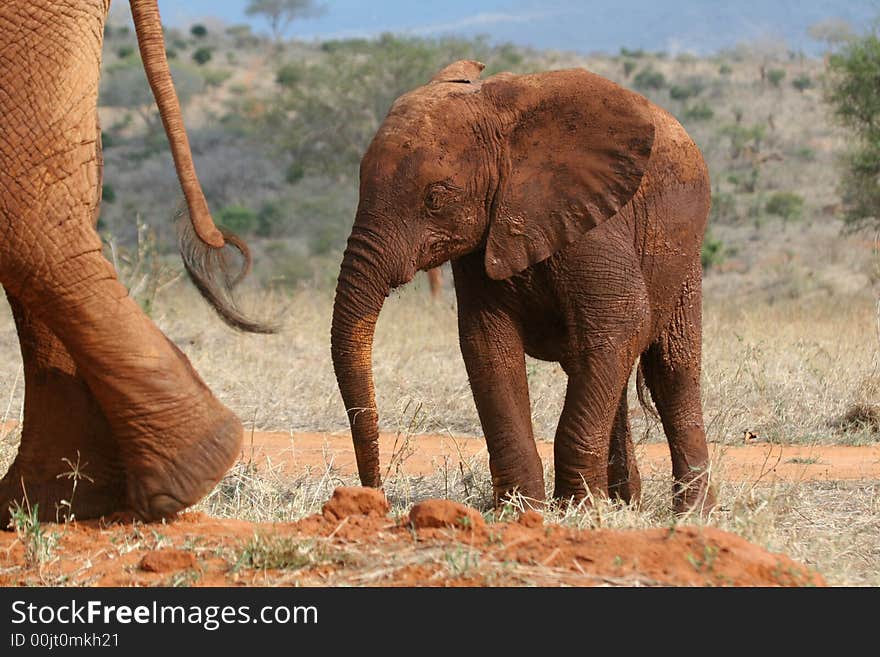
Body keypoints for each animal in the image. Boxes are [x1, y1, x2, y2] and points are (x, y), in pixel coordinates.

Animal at [330, 60, 716, 512]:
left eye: (435, 198)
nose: (377, 496)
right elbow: (487, 345)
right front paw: (522, 509)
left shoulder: (594, 224)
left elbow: (623, 323)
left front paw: (574, 509)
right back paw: (625, 504)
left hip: (684, 253)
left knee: (670, 370)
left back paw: (692, 511)